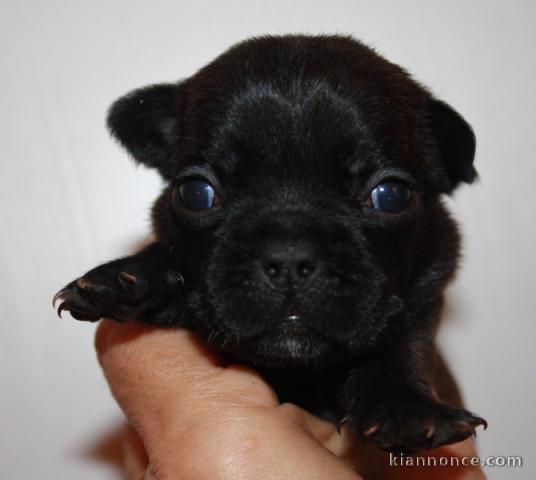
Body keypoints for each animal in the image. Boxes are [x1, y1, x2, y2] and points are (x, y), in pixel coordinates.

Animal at [53, 35, 486, 452]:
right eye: (195, 193)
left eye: (391, 196)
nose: (289, 256)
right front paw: (131, 277)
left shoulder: (425, 296)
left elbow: (405, 343)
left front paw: (406, 408)